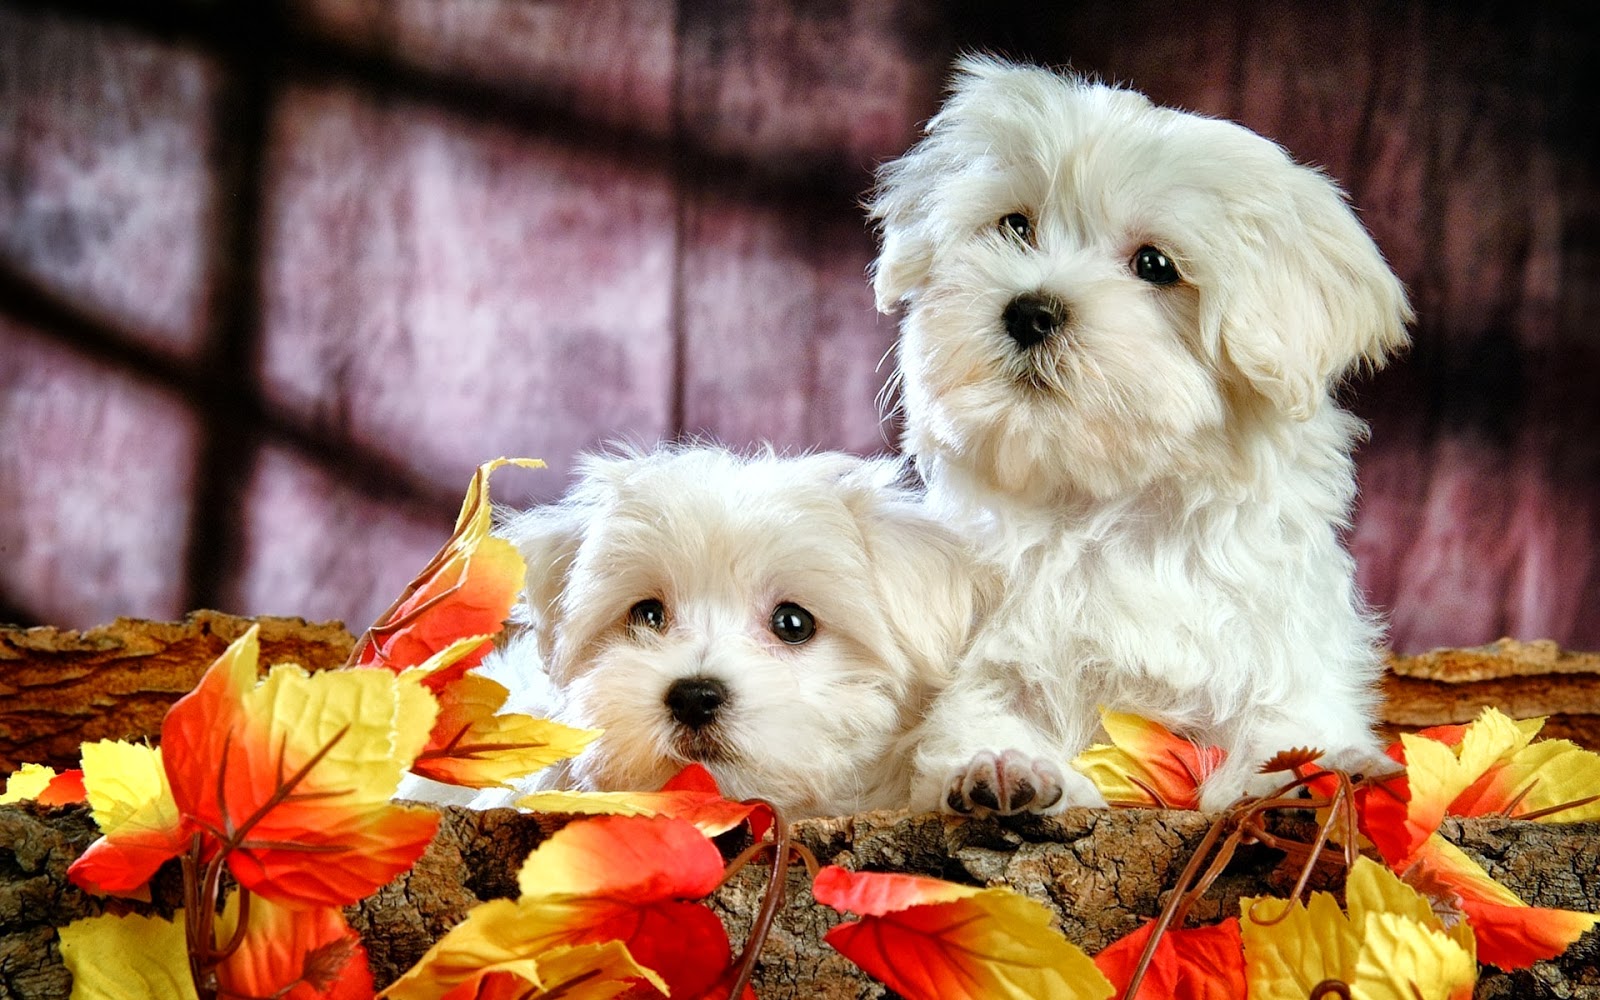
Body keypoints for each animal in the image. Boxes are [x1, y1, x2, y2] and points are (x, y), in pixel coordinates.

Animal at [876, 58, 1414, 816]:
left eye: (1156, 265)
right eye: (1014, 225)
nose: (1030, 311)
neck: (1111, 509)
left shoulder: (1281, 646)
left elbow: (1288, 721)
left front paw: (1314, 771)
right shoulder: (986, 655)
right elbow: (980, 712)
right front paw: (1003, 765)